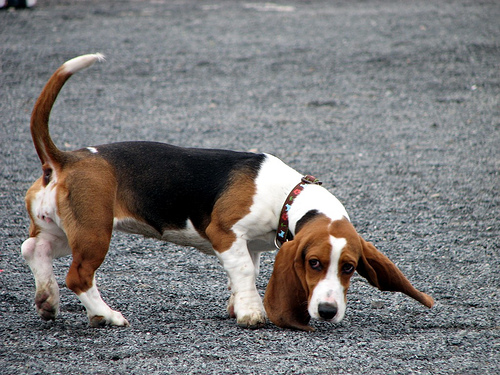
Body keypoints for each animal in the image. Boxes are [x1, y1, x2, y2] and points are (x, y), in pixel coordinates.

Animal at [21, 55, 432, 332]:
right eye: (314, 264)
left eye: (348, 268)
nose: (328, 312)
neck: (289, 197)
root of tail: (65, 158)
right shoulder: (225, 234)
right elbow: (245, 271)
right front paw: (251, 312)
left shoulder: (252, 245)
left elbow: (246, 270)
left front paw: (238, 303)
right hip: (94, 232)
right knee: (78, 277)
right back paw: (105, 315)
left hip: (64, 230)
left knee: (33, 248)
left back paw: (47, 299)